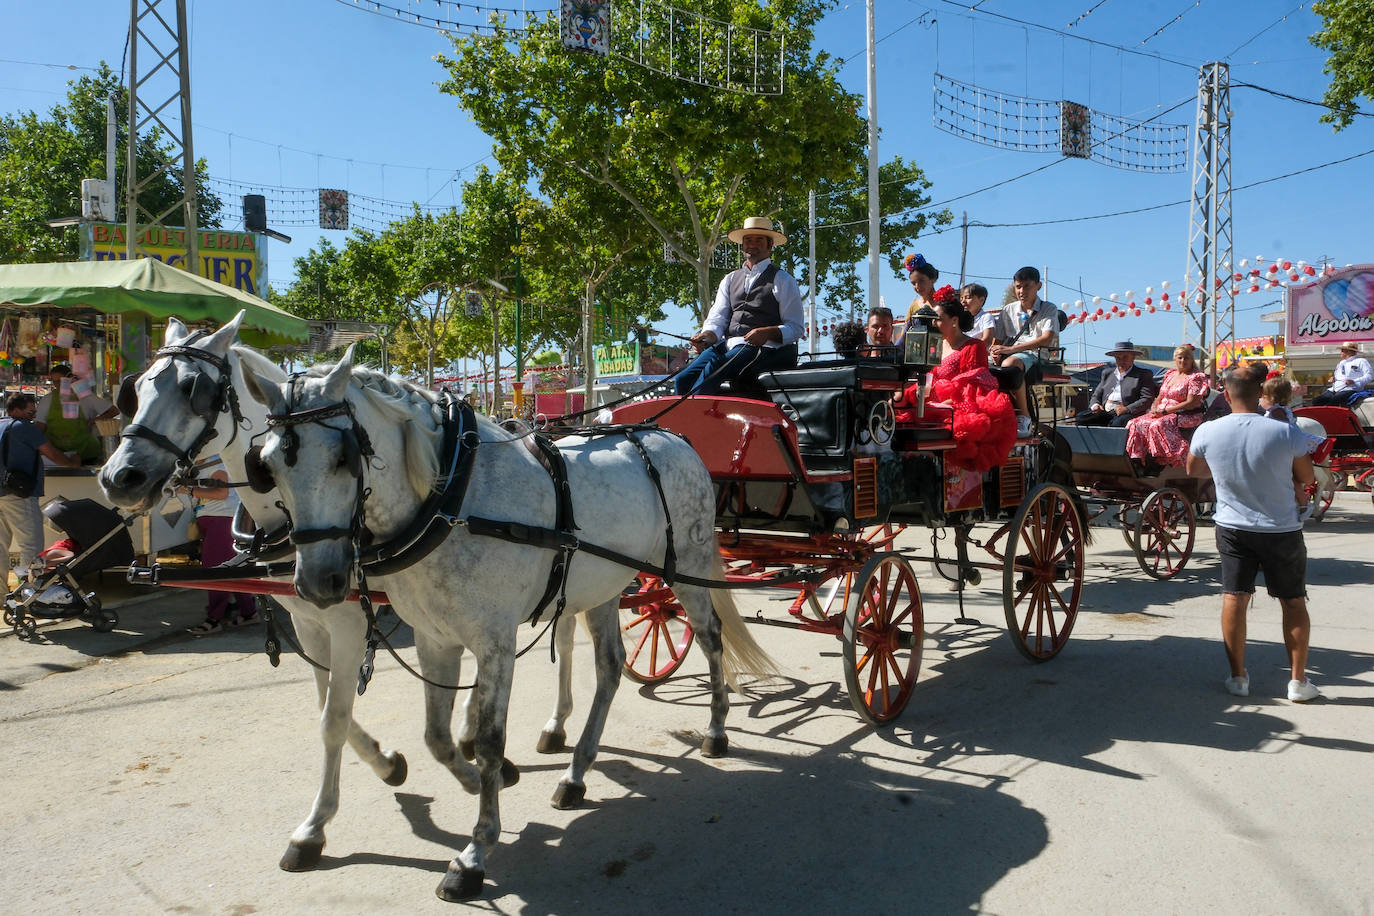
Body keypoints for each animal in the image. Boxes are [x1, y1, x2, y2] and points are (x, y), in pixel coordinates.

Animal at [99, 313, 505, 873]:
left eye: (193, 390)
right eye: (135, 390)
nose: (120, 477)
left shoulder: (348, 621)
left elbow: (333, 720)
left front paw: (315, 827)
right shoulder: (309, 623)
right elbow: (328, 712)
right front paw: (386, 764)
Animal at [240, 347, 769, 900]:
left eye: (343, 457)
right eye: (266, 465)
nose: (318, 582)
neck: (450, 500)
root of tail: (673, 437)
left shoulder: (495, 642)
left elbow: (492, 740)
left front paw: (475, 851)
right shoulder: (435, 639)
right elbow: (435, 736)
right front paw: (477, 781)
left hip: (686, 567)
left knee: (710, 639)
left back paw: (715, 730)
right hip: (603, 586)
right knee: (609, 667)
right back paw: (575, 774)